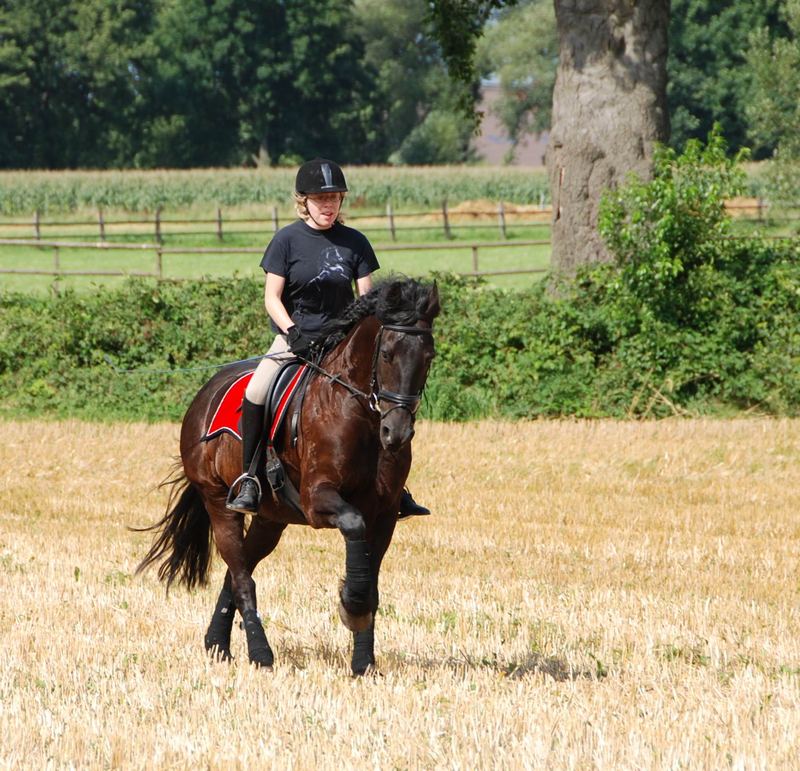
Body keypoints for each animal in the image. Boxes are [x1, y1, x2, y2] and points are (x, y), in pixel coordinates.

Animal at [135, 278, 440, 676]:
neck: (359, 413)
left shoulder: (385, 513)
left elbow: (372, 580)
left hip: (271, 518)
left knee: (239, 569)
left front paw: (363, 663)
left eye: (428, 357)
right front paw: (352, 608)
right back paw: (260, 654)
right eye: (386, 354)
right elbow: (353, 526)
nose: (397, 432)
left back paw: (217, 644)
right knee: (241, 576)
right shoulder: (318, 500)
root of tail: (205, 394)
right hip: (220, 503)